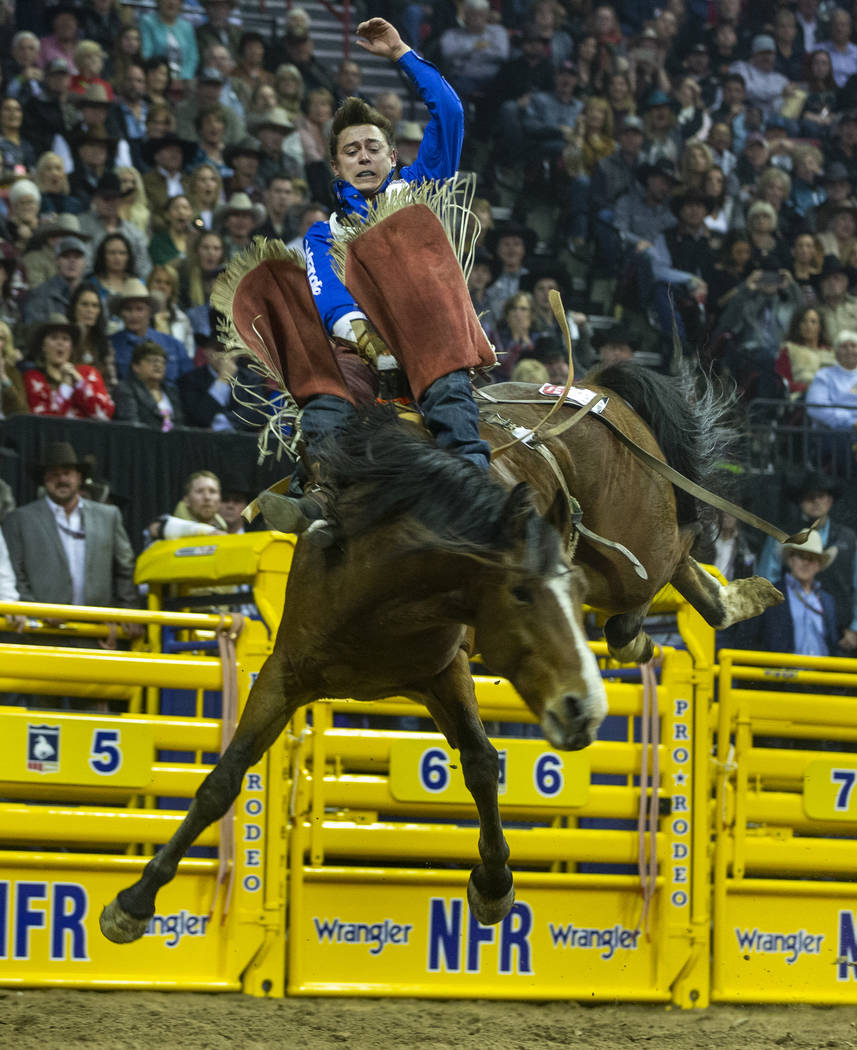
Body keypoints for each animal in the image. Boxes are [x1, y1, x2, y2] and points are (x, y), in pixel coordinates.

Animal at [98, 363, 777, 944]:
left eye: (567, 594)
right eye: (521, 591)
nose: (582, 709)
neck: (377, 574)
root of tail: (599, 388)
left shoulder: (446, 670)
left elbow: (479, 763)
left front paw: (495, 888)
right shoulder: (285, 672)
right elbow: (224, 779)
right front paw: (133, 902)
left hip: (632, 551)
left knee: (678, 547)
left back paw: (711, 604)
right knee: (674, 565)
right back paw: (700, 609)